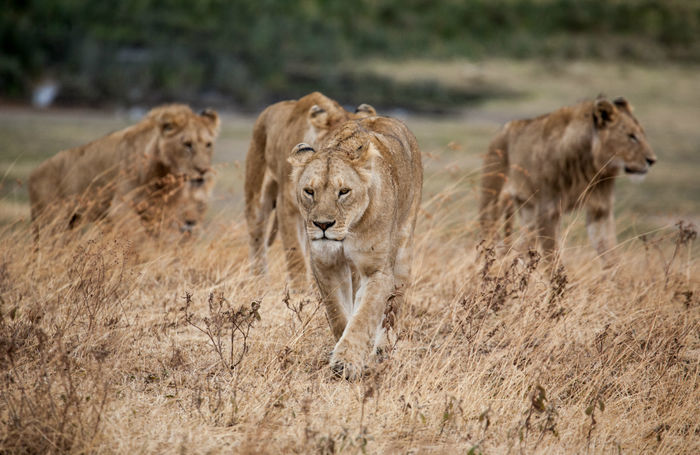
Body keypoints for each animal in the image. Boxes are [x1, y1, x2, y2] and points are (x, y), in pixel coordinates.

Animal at [28, 104, 219, 237]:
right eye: (187, 144)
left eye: (208, 144)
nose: (203, 170)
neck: (163, 174)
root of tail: (34, 172)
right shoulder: (121, 210)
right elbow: (137, 242)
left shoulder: (160, 213)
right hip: (51, 221)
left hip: (72, 222)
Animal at [246, 92, 378, 290]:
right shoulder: (288, 208)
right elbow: (295, 256)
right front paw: (300, 292)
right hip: (256, 196)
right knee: (257, 239)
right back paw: (259, 283)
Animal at [288, 116, 424, 380]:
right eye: (309, 191)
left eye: (344, 192)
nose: (323, 225)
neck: (348, 232)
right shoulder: (326, 264)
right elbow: (339, 313)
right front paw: (342, 350)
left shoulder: (378, 270)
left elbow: (364, 316)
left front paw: (346, 363)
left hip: (404, 250)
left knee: (393, 309)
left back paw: (383, 349)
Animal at [482, 97, 656, 264]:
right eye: (631, 136)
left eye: (642, 135)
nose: (652, 160)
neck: (589, 165)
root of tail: (502, 130)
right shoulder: (547, 211)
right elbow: (553, 261)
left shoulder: (600, 209)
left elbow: (610, 254)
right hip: (492, 202)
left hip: (527, 210)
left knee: (521, 247)